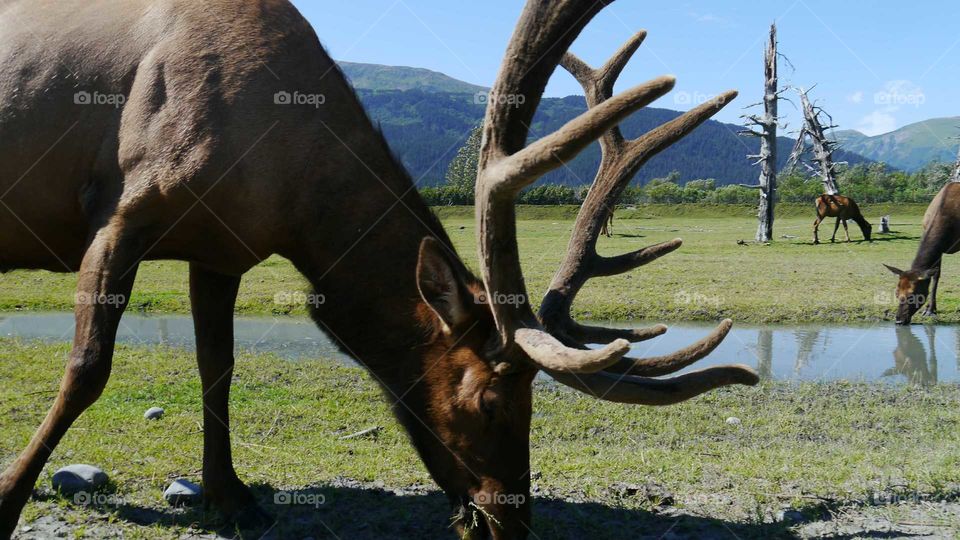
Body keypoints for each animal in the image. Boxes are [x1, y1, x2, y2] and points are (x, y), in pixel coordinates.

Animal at [0, 1, 759, 538]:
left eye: (534, 403)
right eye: (490, 401)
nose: (513, 521)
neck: (292, 193)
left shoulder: (221, 251)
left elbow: (218, 368)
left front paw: (230, 497)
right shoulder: (122, 211)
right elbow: (88, 368)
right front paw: (10, 496)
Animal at [884, 182, 960, 325]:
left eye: (912, 295)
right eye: (896, 293)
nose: (899, 320)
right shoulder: (939, 251)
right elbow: (936, 275)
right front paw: (930, 310)